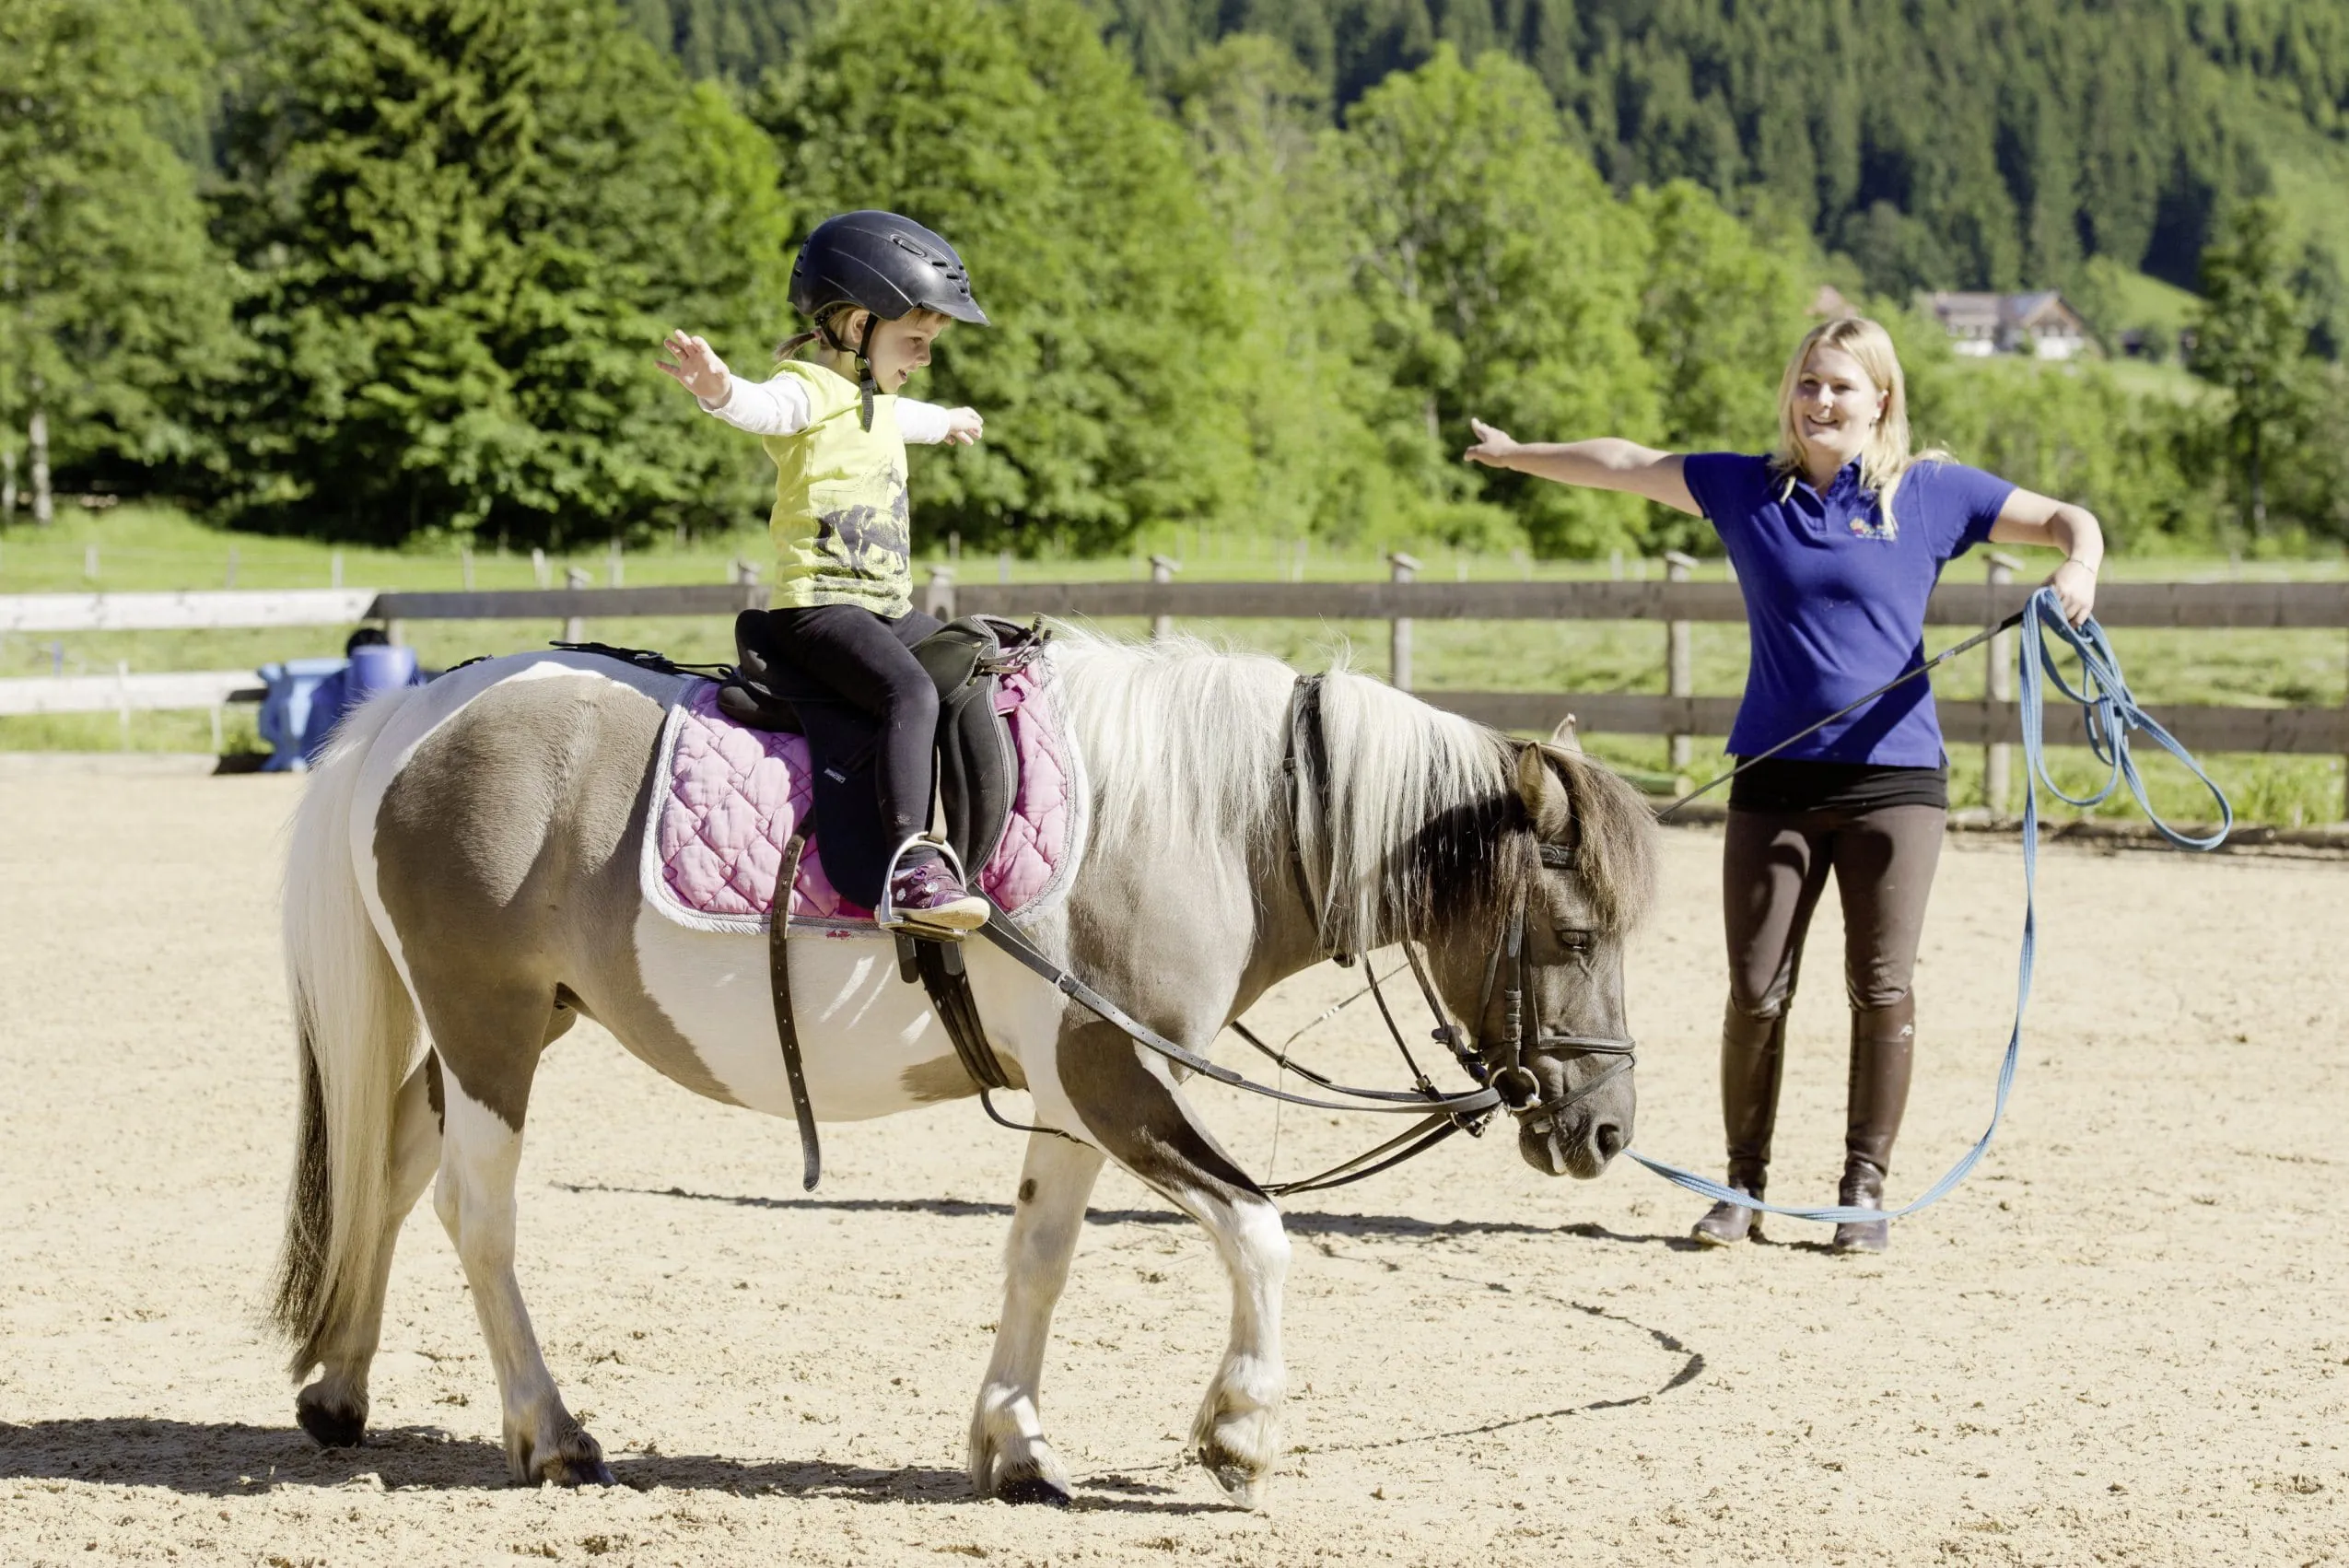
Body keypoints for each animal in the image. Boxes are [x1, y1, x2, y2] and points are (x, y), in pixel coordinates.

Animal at [270, 630, 1658, 1506]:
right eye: (1576, 935)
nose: (1605, 1128)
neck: (1206, 821)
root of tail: (421, 709)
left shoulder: (1070, 1098)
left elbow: (1038, 1256)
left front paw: (1017, 1445)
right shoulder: (1115, 1077)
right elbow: (1261, 1231)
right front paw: (1241, 1432)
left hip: (503, 1026)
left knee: (394, 1162)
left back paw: (339, 1389)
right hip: (490, 1022)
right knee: (476, 1211)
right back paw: (551, 1434)